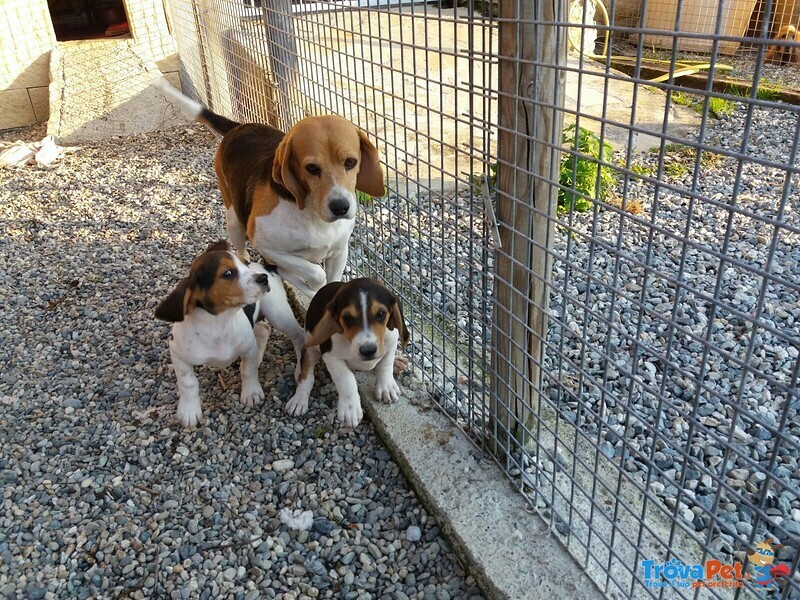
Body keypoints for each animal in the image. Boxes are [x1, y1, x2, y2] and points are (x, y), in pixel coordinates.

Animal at [153, 77, 388, 298]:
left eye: (351, 162)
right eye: (311, 168)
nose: (340, 207)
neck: (312, 213)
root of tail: (238, 127)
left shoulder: (340, 251)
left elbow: (328, 279)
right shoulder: (266, 244)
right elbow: (315, 274)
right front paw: (309, 284)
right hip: (234, 220)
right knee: (241, 249)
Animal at [156, 239, 306, 426]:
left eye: (244, 264)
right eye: (227, 273)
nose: (263, 279)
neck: (220, 324)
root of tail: (265, 266)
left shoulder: (248, 346)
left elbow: (248, 370)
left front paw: (251, 393)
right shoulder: (177, 353)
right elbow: (187, 382)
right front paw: (189, 411)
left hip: (277, 313)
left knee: (298, 336)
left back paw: (299, 369)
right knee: (264, 329)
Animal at [288, 278, 410, 428]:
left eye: (381, 314)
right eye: (347, 318)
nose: (368, 350)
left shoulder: (391, 343)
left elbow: (385, 365)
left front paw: (386, 387)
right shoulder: (331, 356)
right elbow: (346, 379)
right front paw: (350, 409)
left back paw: (398, 363)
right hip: (310, 349)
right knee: (307, 377)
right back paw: (299, 400)